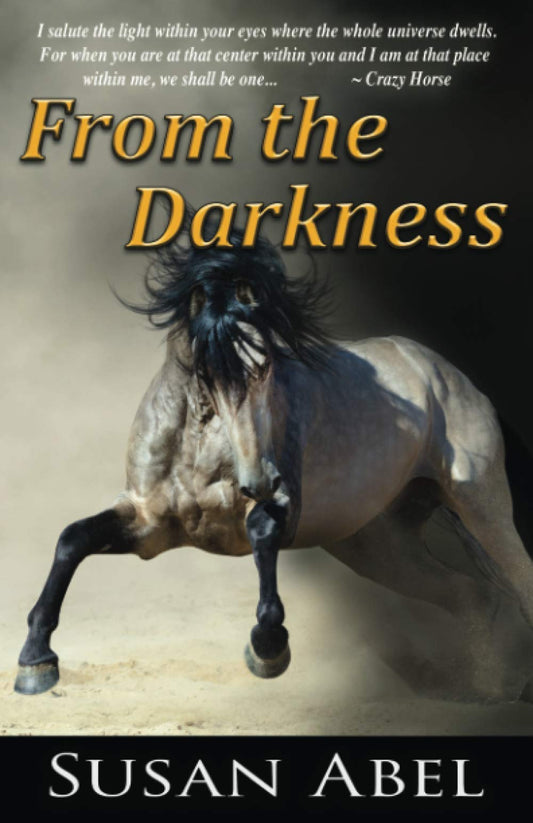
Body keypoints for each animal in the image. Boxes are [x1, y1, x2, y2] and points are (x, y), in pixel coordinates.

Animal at [14, 224, 533, 700]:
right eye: (204, 370)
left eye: (265, 365)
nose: (260, 479)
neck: (197, 445)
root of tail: (445, 373)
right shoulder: (148, 524)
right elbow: (73, 539)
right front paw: (36, 662)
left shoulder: (279, 506)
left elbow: (263, 536)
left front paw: (268, 649)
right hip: (377, 544)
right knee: (471, 594)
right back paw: (488, 686)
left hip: (481, 506)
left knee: (516, 577)